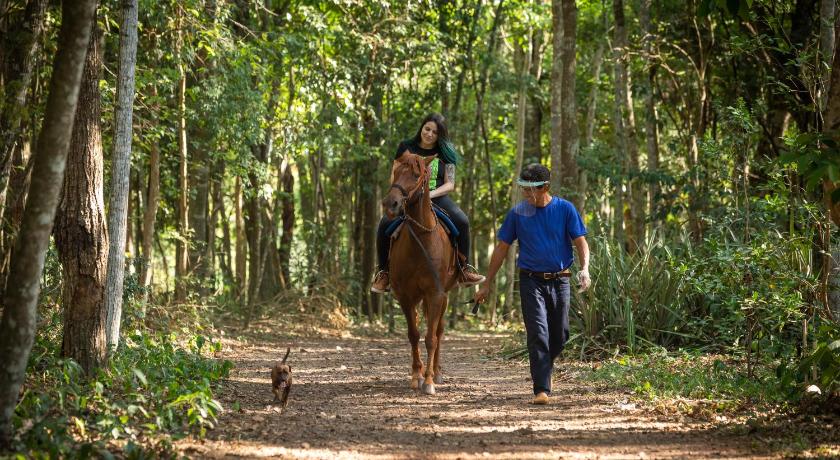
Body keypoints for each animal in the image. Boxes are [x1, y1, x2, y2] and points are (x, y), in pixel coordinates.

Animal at [382, 152, 456, 396]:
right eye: (395, 172)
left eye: (416, 175)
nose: (391, 204)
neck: (421, 241)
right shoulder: (405, 296)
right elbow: (413, 335)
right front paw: (417, 376)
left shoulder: (436, 294)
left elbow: (431, 338)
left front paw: (430, 381)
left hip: (445, 296)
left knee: (439, 331)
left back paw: (437, 372)